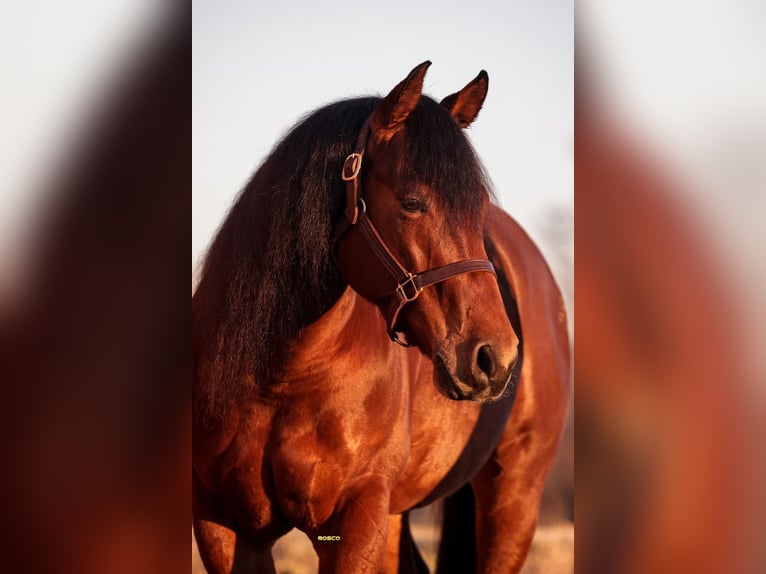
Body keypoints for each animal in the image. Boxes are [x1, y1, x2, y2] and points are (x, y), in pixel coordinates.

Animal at [192, 61, 570, 573]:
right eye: (412, 202)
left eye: (479, 209)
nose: (496, 357)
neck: (282, 377)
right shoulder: (226, 527)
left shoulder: (357, 518)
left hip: (513, 499)